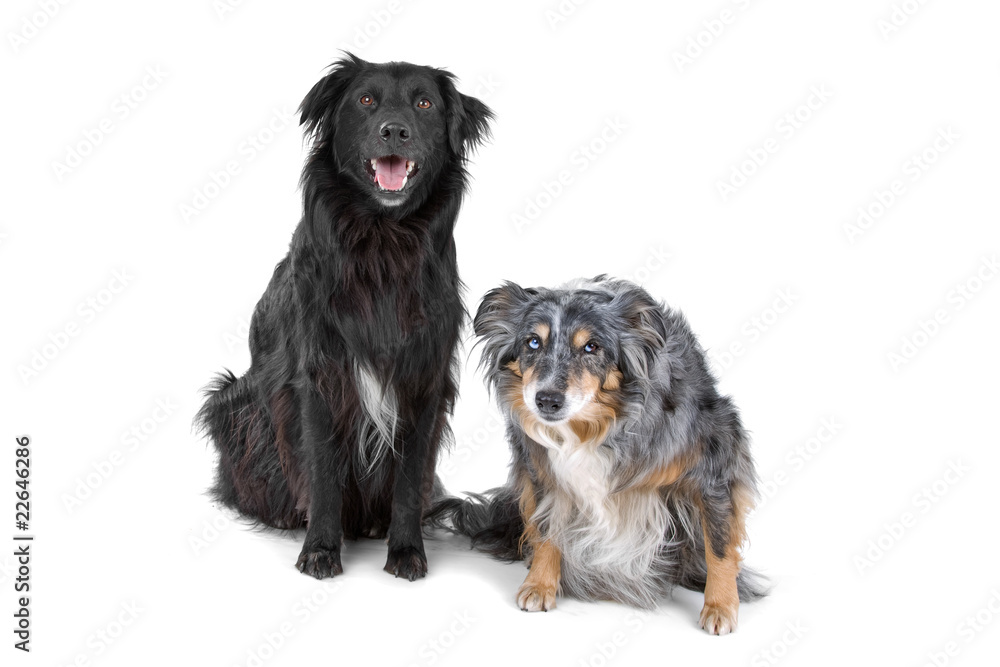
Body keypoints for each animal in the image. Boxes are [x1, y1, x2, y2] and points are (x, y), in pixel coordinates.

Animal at [196, 54, 492, 580]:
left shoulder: (424, 380)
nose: (394, 131)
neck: (383, 242)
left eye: (424, 104)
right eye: (366, 100)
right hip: (231, 401)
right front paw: (319, 549)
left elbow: (409, 479)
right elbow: (322, 472)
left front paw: (406, 550)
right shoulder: (318, 379)